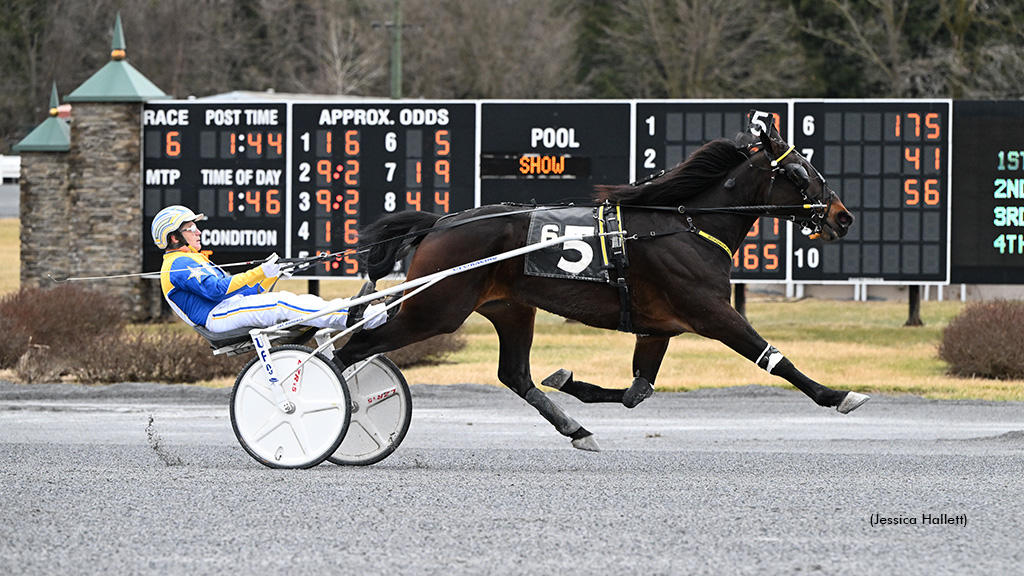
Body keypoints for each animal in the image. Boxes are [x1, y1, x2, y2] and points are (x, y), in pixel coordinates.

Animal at [339, 121, 868, 448]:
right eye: (799, 170)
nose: (843, 216)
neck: (686, 225)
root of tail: (440, 222)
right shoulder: (711, 312)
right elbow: (773, 358)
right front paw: (838, 395)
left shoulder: (657, 327)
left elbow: (638, 391)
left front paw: (569, 381)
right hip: (435, 310)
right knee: (350, 349)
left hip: (510, 307)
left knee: (516, 375)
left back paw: (576, 429)